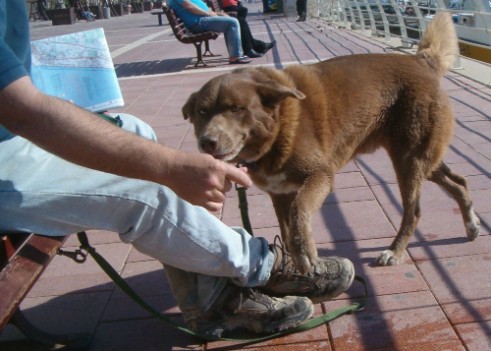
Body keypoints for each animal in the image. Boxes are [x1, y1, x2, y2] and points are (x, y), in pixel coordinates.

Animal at [184, 13, 480, 276]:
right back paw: (471, 224)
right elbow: (287, 230)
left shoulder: (320, 175)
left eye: (236, 108)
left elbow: (300, 210)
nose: (207, 142)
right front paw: (297, 261)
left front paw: (307, 254)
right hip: (422, 158)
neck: (279, 128)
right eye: (202, 112)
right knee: (459, 180)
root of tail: (422, 61)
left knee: (414, 210)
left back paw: (395, 251)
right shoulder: (279, 193)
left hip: (409, 159)